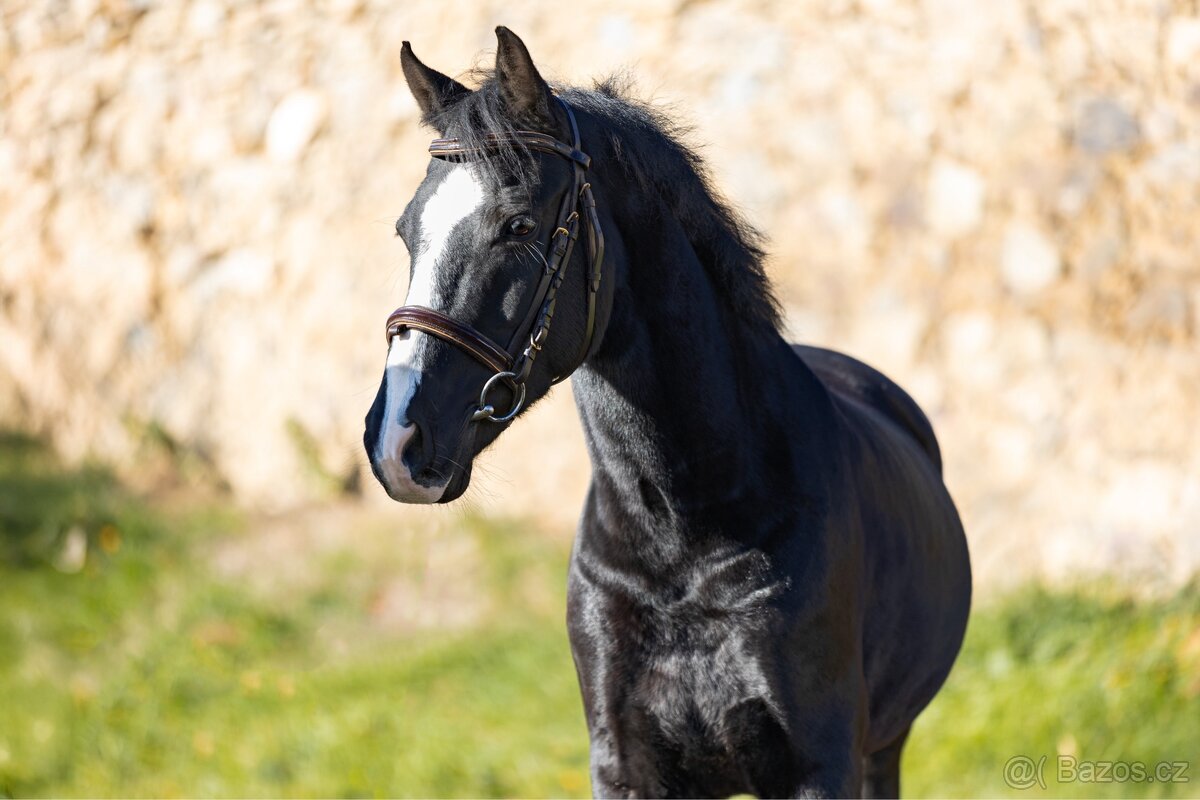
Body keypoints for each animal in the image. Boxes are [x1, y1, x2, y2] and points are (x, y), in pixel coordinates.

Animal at [363, 27, 971, 799]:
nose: (396, 441)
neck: (686, 535)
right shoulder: (627, 767)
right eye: (405, 231)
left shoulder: (823, 765)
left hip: (883, 750)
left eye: (518, 223)